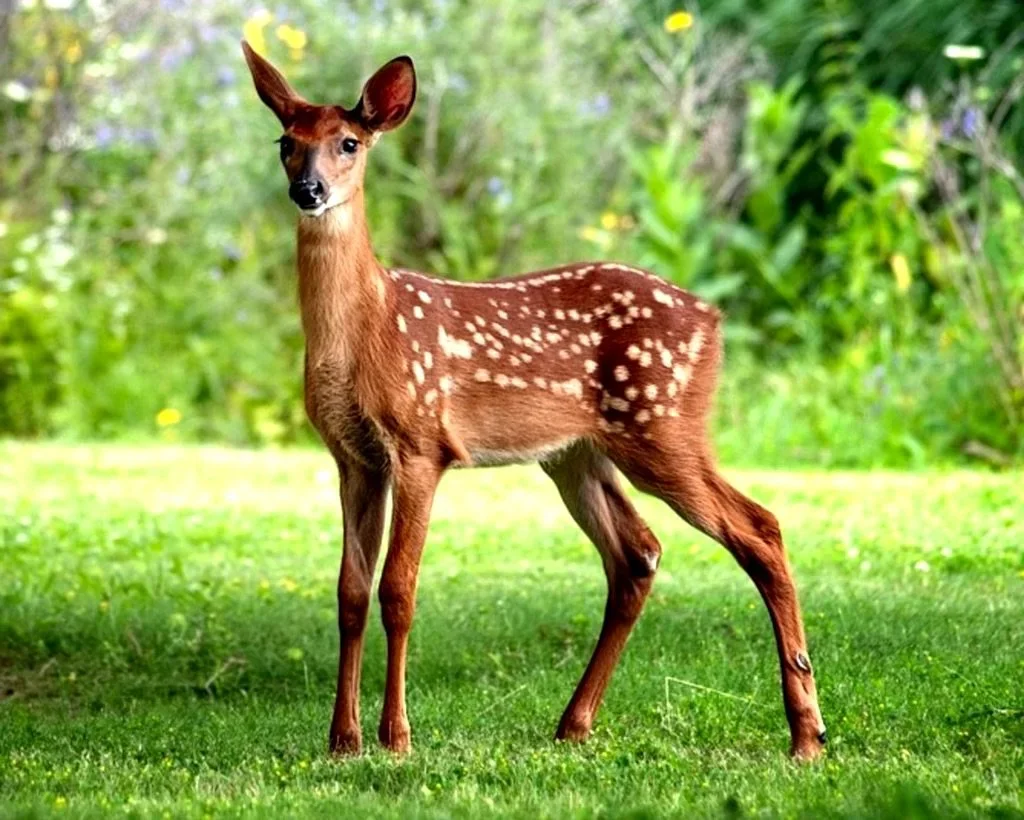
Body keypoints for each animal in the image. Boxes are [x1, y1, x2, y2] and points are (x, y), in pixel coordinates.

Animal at [240, 41, 827, 761]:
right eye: (285, 142)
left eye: (349, 142)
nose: (309, 190)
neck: (366, 328)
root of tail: (714, 320)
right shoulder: (353, 456)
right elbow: (350, 591)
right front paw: (343, 740)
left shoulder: (421, 441)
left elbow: (398, 589)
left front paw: (396, 736)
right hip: (577, 454)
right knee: (638, 552)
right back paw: (575, 723)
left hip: (661, 425)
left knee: (760, 528)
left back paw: (806, 733)